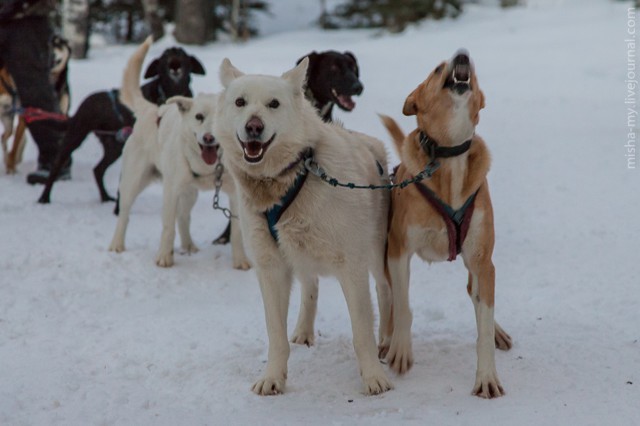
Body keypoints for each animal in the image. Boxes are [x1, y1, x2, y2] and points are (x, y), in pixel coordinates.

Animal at [37, 45, 205, 204]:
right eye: (164, 55)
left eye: (182, 52)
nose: (174, 50)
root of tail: (83, 105)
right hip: (76, 137)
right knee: (56, 166)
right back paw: (44, 198)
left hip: (114, 147)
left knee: (98, 170)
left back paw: (105, 197)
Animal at [107, 37, 250, 270]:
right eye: (199, 117)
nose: (209, 138)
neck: (208, 168)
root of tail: (151, 110)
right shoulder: (171, 191)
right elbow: (167, 227)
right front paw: (164, 257)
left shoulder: (235, 195)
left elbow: (237, 232)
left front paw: (240, 261)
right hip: (133, 183)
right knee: (125, 215)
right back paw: (117, 244)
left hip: (189, 193)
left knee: (183, 218)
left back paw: (188, 245)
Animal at [215, 57, 392, 396]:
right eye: (240, 102)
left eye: (273, 104)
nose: (253, 127)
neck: (293, 177)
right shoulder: (270, 269)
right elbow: (276, 336)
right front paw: (273, 376)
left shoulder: (352, 266)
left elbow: (362, 331)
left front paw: (374, 377)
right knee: (311, 287)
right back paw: (303, 331)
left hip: (377, 257)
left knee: (386, 290)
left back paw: (389, 341)